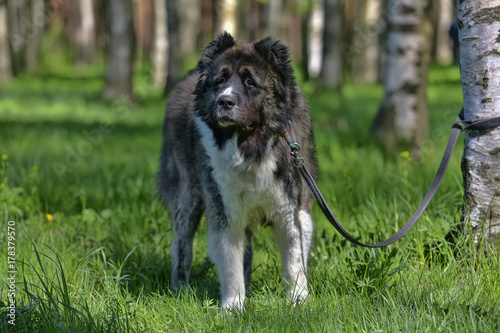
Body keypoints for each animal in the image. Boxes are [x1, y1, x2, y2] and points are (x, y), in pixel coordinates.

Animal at [158, 32, 318, 310]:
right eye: (220, 81)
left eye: (250, 82)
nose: (224, 101)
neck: (251, 144)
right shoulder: (224, 208)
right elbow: (230, 262)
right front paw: (233, 307)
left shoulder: (292, 209)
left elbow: (294, 260)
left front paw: (299, 300)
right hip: (187, 198)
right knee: (182, 243)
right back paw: (180, 289)